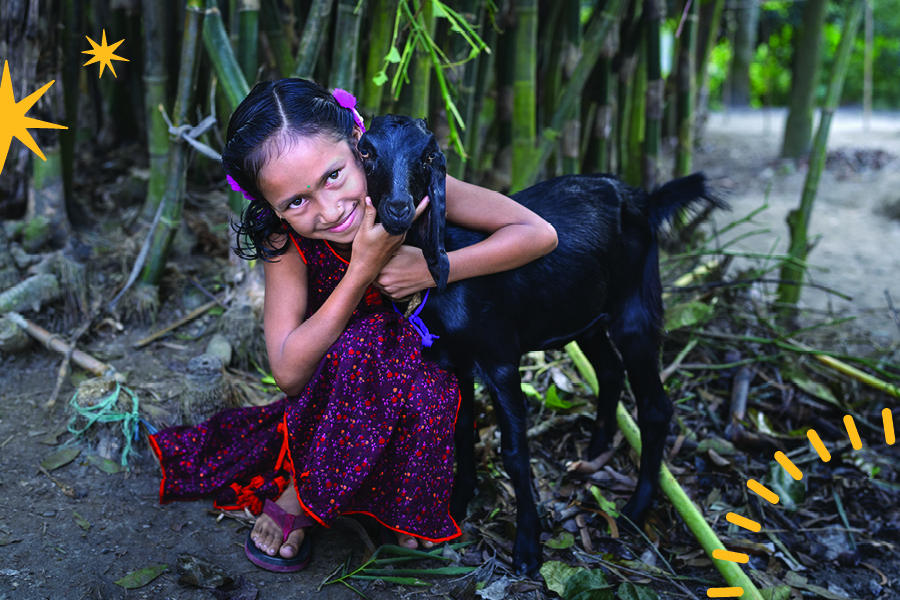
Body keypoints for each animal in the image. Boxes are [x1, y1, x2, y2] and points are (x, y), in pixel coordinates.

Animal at [358, 115, 724, 580]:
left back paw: (633, 512)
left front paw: (528, 549)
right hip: (584, 312)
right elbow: (462, 428)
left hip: (635, 305)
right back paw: (597, 450)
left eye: (427, 155)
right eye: (366, 150)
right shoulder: (452, 358)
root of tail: (641, 196)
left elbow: (514, 450)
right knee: (609, 369)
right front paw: (457, 506)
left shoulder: (498, 357)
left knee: (656, 406)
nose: (398, 208)